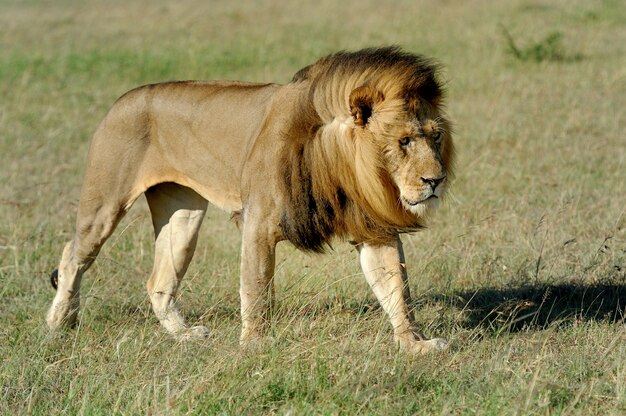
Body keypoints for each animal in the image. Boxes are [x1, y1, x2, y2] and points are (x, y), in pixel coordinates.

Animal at [45, 48, 454, 354]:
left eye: (435, 137)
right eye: (403, 141)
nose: (435, 180)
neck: (340, 167)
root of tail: (121, 100)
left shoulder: (374, 229)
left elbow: (396, 288)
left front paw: (414, 345)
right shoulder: (258, 224)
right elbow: (256, 289)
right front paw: (255, 347)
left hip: (183, 213)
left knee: (158, 280)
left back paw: (185, 336)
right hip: (105, 202)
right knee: (72, 255)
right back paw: (58, 325)